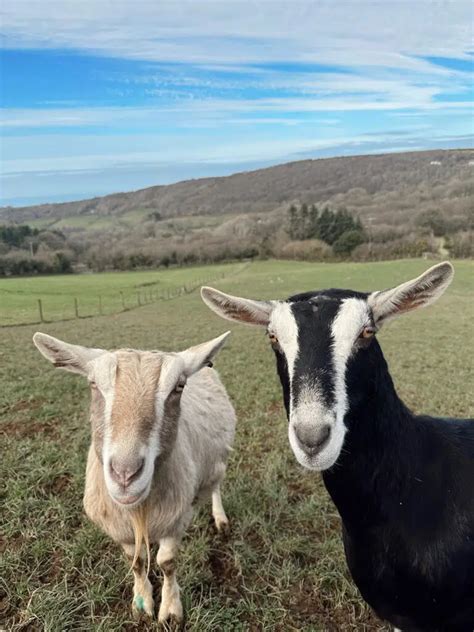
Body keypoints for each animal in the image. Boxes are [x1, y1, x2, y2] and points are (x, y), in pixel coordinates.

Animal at [32, 330, 236, 624]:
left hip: (217, 461)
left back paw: (220, 519)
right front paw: (142, 603)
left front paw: (170, 610)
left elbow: (167, 562)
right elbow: (137, 562)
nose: (125, 474)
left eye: (179, 387)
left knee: (215, 487)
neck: (139, 510)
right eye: (93, 384)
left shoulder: (174, 520)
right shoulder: (120, 529)